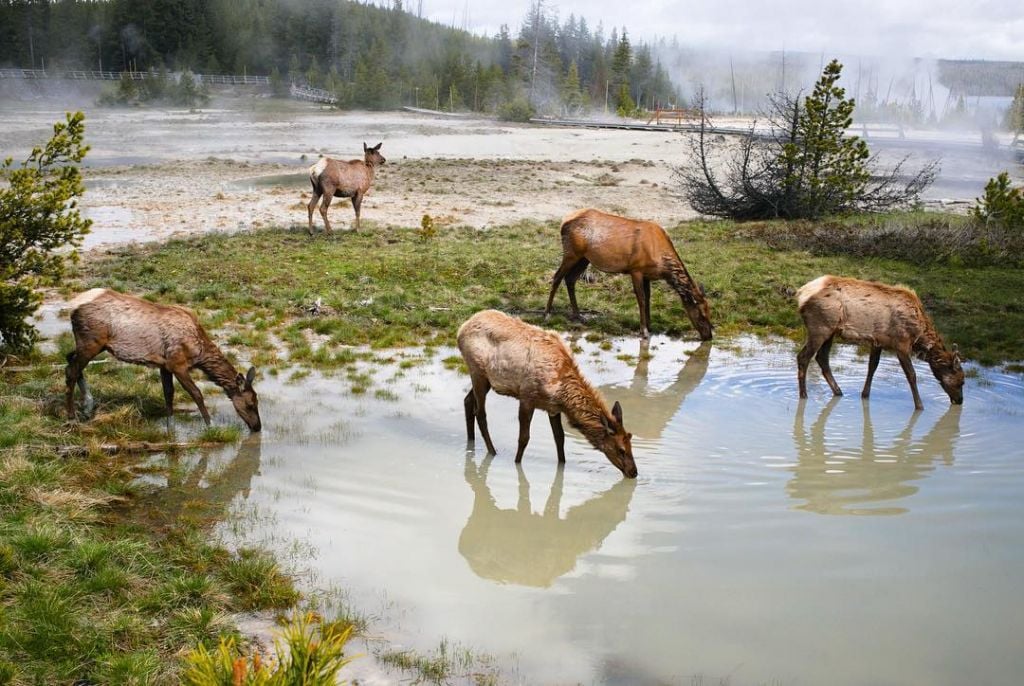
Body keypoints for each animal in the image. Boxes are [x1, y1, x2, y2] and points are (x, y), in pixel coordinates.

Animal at [64, 288, 262, 430]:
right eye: (251, 404)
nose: (258, 427)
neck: (198, 351)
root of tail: (72, 306)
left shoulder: (164, 365)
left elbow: (168, 393)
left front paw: (170, 427)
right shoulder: (177, 363)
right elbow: (196, 393)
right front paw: (211, 425)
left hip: (91, 344)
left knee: (69, 358)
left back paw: (87, 405)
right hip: (92, 341)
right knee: (71, 371)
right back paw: (72, 416)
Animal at [458, 311, 634, 479]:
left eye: (631, 443)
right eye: (621, 449)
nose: (634, 472)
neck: (561, 393)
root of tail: (461, 330)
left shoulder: (553, 408)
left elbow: (559, 438)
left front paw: (562, 466)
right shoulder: (527, 397)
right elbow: (524, 438)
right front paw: (517, 464)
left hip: (486, 379)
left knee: (467, 400)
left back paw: (471, 442)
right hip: (477, 371)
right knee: (480, 413)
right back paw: (492, 451)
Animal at [544, 206, 712, 341]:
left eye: (710, 312)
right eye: (701, 314)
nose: (709, 336)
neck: (661, 264)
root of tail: (563, 223)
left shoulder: (646, 275)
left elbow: (648, 298)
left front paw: (649, 326)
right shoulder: (635, 269)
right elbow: (641, 299)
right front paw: (644, 331)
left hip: (584, 258)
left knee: (570, 279)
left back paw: (578, 315)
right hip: (571, 253)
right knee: (557, 277)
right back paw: (547, 313)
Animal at [794, 276, 962, 413]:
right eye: (961, 381)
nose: (960, 401)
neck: (918, 334)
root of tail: (801, 294)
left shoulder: (879, 341)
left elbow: (872, 367)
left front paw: (865, 395)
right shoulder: (901, 344)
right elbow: (911, 375)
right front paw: (920, 406)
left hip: (830, 331)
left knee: (822, 358)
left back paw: (838, 392)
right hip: (820, 328)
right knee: (803, 357)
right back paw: (804, 395)